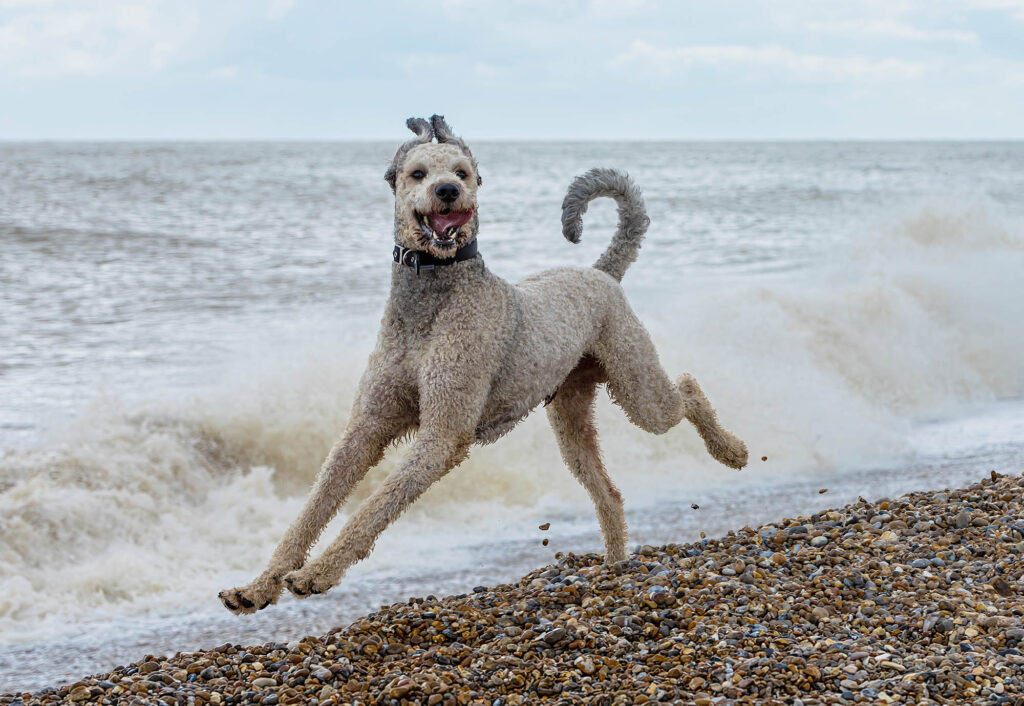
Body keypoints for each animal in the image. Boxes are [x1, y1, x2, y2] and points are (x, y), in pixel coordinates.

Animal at [220, 114, 749, 610]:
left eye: (463, 172)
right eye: (417, 173)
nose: (448, 191)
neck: (431, 299)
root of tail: (601, 275)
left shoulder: (442, 435)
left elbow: (374, 506)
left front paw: (318, 573)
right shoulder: (365, 428)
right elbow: (312, 509)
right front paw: (256, 587)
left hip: (639, 390)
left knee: (687, 389)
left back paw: (733, 451)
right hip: (570, 421)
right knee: (609, 492)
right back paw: (615, 566)